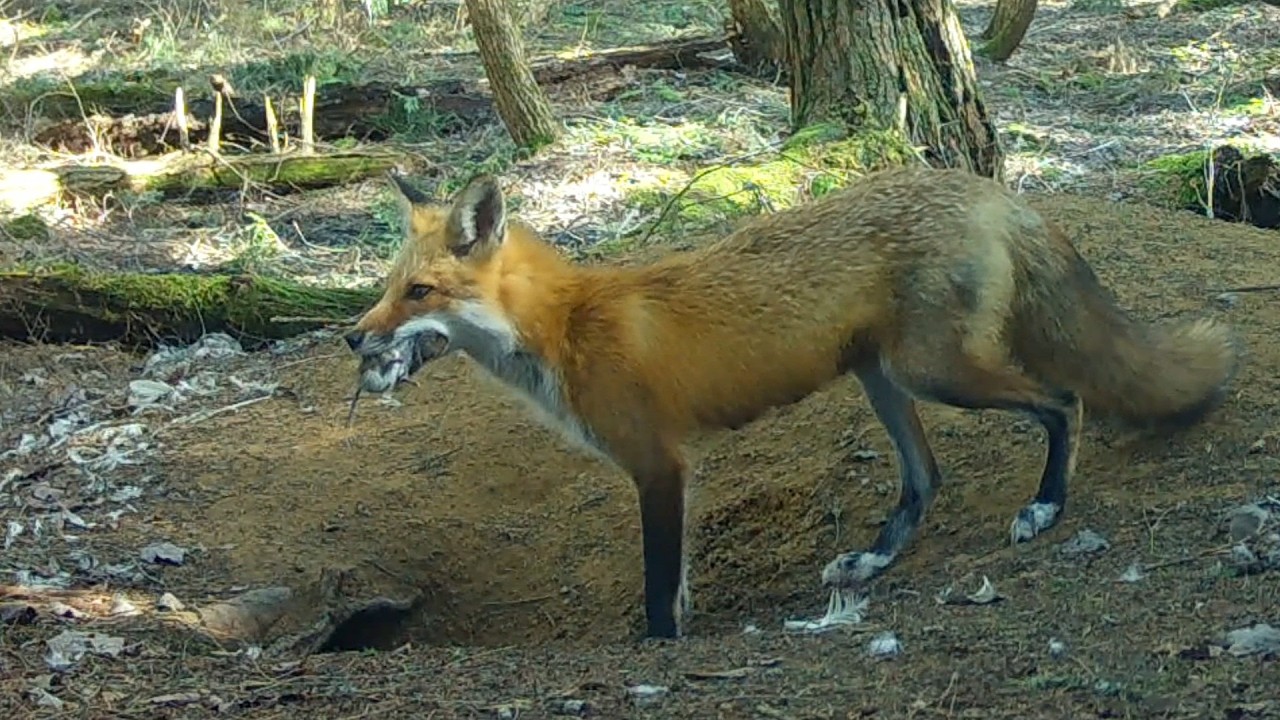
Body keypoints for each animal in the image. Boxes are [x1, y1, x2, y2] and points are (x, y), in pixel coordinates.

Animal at [343, 164, 1239, 640]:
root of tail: (989, 188)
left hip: (933, 371)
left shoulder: (659, 465)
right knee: (927, 479)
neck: (566, 328)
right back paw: (873, 561)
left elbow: (659, 589)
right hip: (885, 380)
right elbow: (677, 586)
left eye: (419, 293)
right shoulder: (670, 471)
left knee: (1063, 401)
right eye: (385, 288)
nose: (354, 339)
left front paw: (661, 649)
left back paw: (1045, 507)